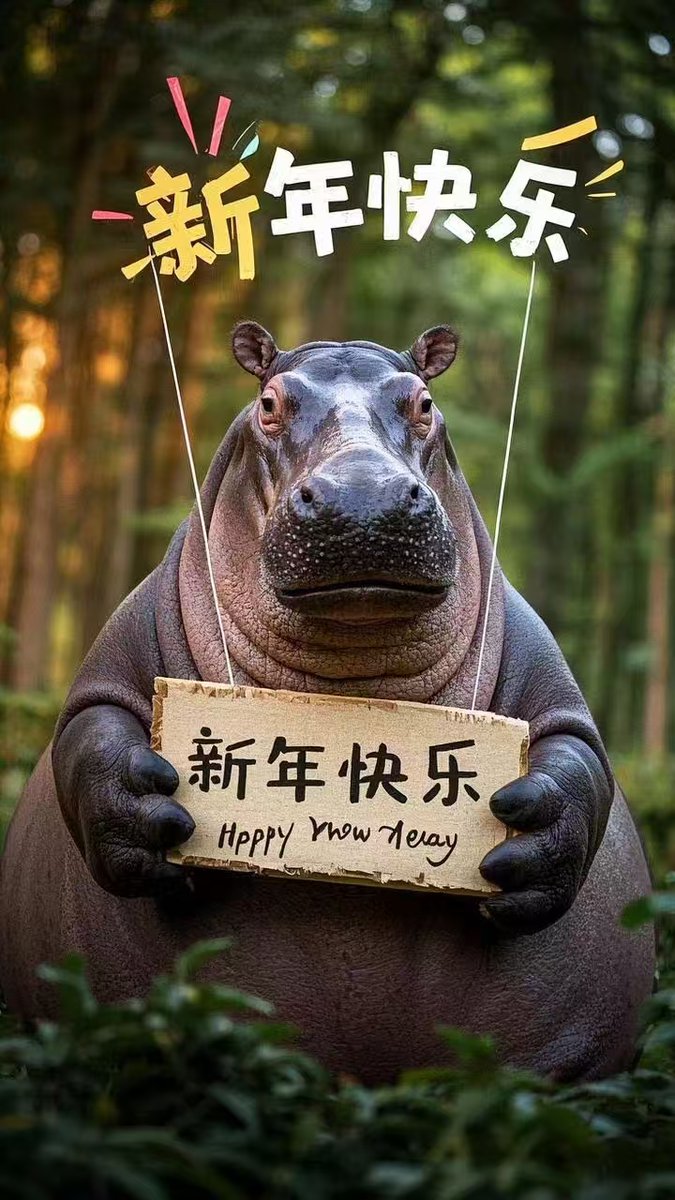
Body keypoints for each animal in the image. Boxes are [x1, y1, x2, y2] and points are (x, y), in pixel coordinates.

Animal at [0, 323, 654, 1083]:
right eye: (268, 403)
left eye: (423, 401)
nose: (363, 499)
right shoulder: (111, 665)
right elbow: (91, 736)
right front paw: (160, 809)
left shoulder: (554, 694)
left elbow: (579, 764)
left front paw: (511, 834)